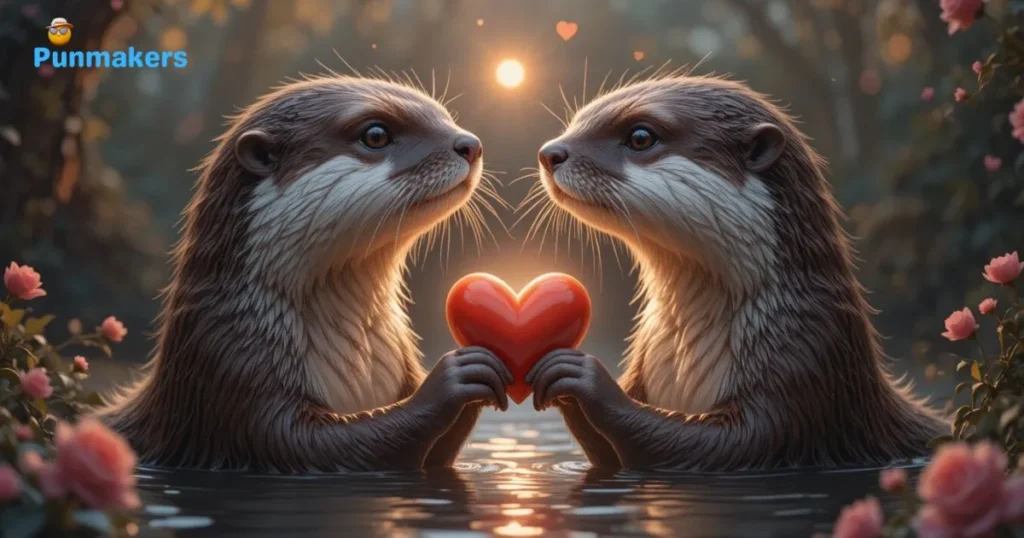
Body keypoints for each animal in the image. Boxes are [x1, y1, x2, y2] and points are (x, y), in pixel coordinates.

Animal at [99, 76, 513, 472]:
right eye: (376, 134)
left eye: (444, 116)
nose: (469, 144)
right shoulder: (228, 367)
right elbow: (305, 445)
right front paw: (450, 379)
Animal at [526, 75, 947, 470]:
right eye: (577, 121)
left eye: (641, 137)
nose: (551, 152)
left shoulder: (808, 357)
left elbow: (735, 443)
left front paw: (588, 379)